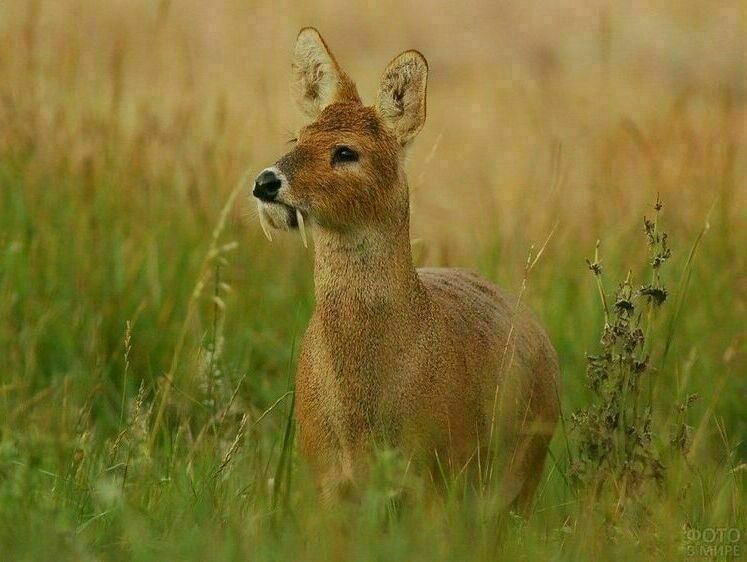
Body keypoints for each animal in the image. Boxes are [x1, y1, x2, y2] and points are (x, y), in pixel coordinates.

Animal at [253, 26, 560, 508]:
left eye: (346, 152)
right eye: (296, 139)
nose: (265, 183)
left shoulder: (436, 470)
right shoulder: (321, 473)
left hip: (523, 469)